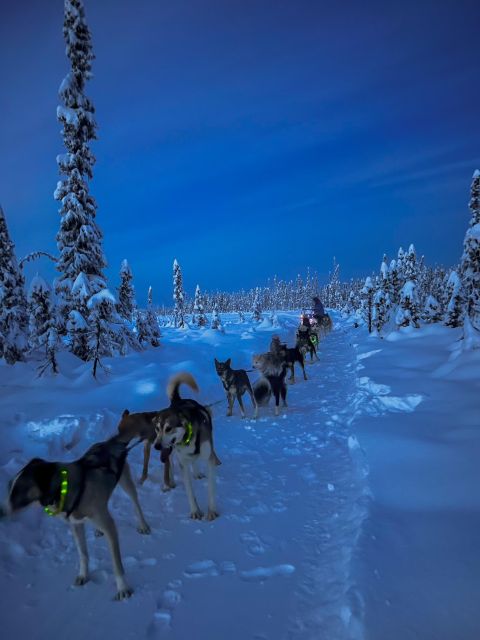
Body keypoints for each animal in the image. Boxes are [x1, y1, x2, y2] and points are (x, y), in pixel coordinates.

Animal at [0, 430, 150, 600]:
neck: (64, 488)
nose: (0, 511)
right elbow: (83, 554)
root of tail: (110, 443)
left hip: (126, 482)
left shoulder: (109, 527)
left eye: (18, 491)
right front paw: (84, 575)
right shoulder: (76, 525)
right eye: (9, 487)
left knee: (135, 503)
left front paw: (122, 587)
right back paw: (98, 529)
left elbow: (116, 563)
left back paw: (143, 525)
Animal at [151, 372, 222, 524]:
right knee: (170, 463)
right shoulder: (182, 463)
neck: (188, 438)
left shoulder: (209, 460)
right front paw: (195, 511)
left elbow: (211, 489)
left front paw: (211, 512)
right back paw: (170, 481)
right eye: (157, 428)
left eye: (168, 428)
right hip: (171, 454)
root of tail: (178, 400)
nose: (157, 446)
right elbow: (189, 491)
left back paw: (197, 473)